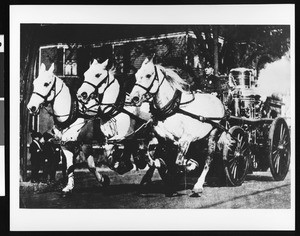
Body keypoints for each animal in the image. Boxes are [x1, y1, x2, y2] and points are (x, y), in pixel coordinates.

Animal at [27, 62, 109, 194]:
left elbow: (91, 166)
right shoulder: (66, 146)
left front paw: (103, 180)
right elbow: (71, 166)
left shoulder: (85, 144)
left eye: (46, 84)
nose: (31, 107)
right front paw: (69, 186)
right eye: (35, 83)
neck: (72, 116)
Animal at [129, 56, 232, 195]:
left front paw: (189, 165)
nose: (134, 98)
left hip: (213, 134)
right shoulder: (162, 139)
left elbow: (178, 163)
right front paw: (159, 166)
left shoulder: (185, 140)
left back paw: (198, 185)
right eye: (136, 75)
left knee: (208, 159)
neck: (172, 110)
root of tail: (219, 101)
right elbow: (149, 156)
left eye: (148, 75)